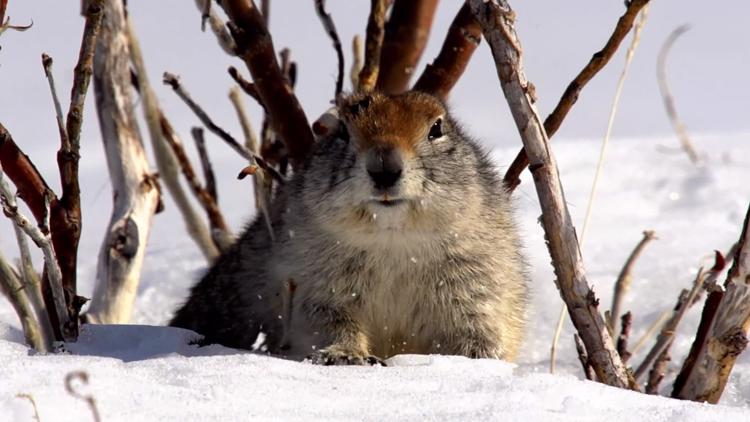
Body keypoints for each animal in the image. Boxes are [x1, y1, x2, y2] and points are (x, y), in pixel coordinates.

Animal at [173, 90, 532, 364]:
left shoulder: (476, 280)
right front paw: (345, 355)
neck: (393, 240)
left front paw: (476, 360)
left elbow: (477, 327)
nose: (384, 166)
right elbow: (329, 321)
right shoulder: (311, 281)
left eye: (436, 128)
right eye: (343, 130)